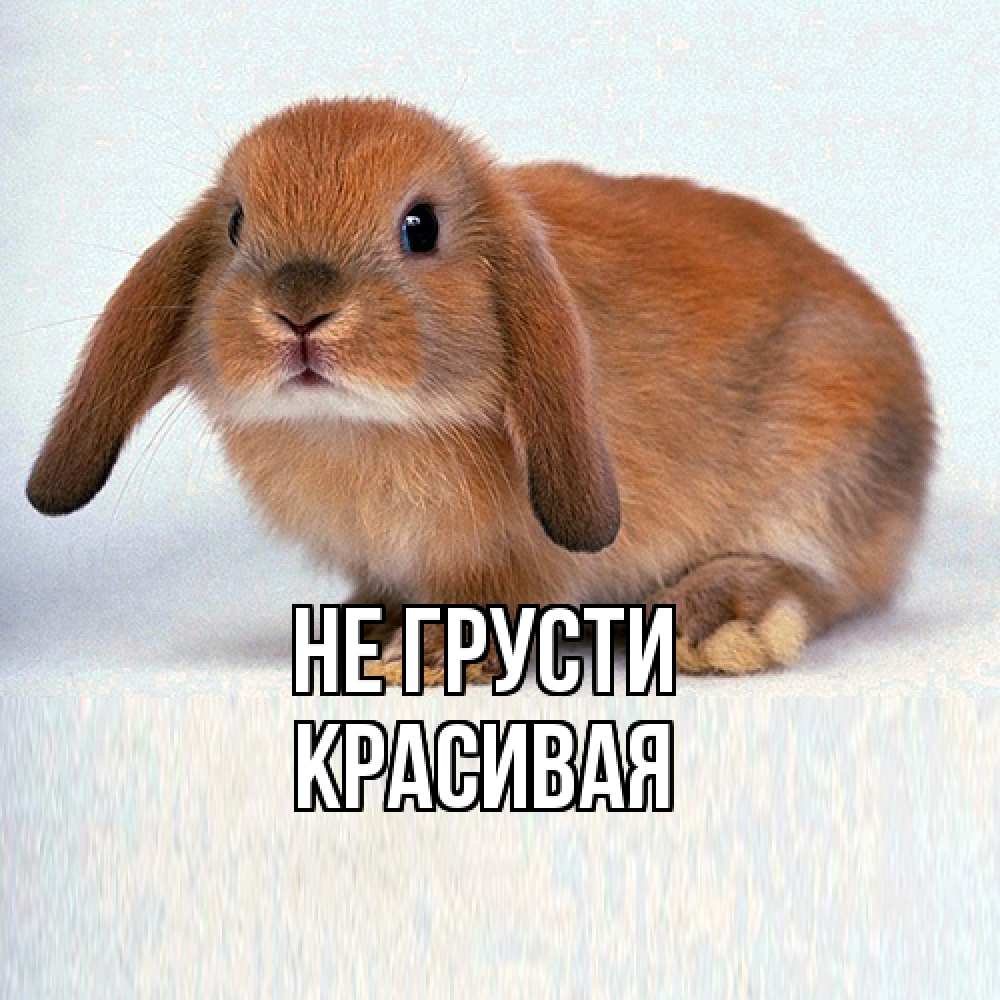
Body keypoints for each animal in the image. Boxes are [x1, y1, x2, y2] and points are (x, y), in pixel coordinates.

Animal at [26, 97, 934, 682]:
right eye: (237, 224)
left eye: (420, 227)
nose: (299, 311)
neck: (360, 428)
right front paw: (374, 634)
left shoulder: (516, 559)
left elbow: (500, 599)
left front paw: (427, 660)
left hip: (822, 467)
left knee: (824, 583)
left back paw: (720, 623)